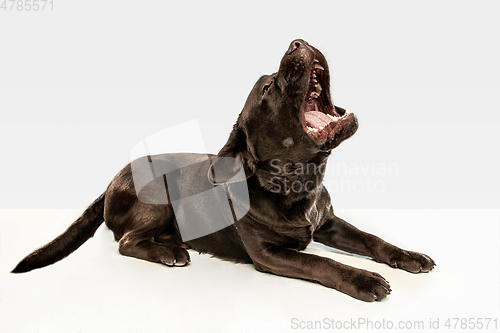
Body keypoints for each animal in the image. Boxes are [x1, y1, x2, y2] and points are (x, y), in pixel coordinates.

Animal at [11, 39, 434, 300]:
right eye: (268, 88)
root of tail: (111, 179)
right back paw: (170, 251)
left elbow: (372, 239)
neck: (299, 182)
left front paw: (408, 255)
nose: (297, 42)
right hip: (159, 195)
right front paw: (362, 279)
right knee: (126, 241)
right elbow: (321, 261)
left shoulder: (328, 222)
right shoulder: (269, 254)